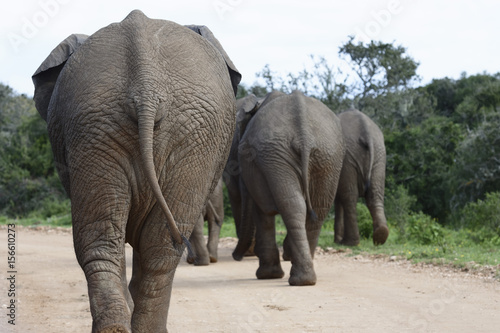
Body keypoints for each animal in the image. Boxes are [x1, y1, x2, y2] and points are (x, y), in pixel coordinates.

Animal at [230, 91, 344, 286]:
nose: (236, 256)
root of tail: (303, 133)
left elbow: (262, 210)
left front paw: (268, 275)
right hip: (323, 156)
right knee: (316, 208)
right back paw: (305, 279)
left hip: (289, 154)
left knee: (295, 206)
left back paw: (298, 278)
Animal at [336, 108, 390, 244]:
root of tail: (366, 133)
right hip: (379, 155)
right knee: (375, 194)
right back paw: (380, 236)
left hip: (348, 156)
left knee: (349, 197)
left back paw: (349, 243)